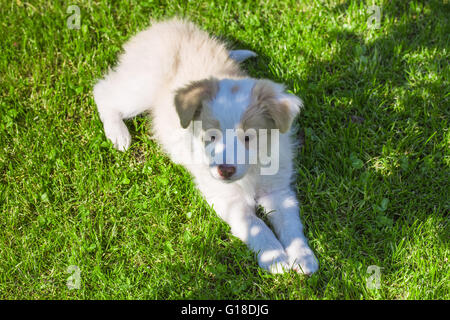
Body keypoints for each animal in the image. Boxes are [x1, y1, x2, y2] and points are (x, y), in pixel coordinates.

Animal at [93, 17, 318, 274]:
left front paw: (303, 257)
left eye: (248, 137)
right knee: (103, 91)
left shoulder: (278, 189)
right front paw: (275, 258)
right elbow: (256, 225)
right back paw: (118, 134)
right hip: (140, 88)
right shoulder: (228, 200)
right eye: (211, 137)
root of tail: (162, 25)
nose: (225, 170)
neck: (252, 172)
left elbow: (290, 223)